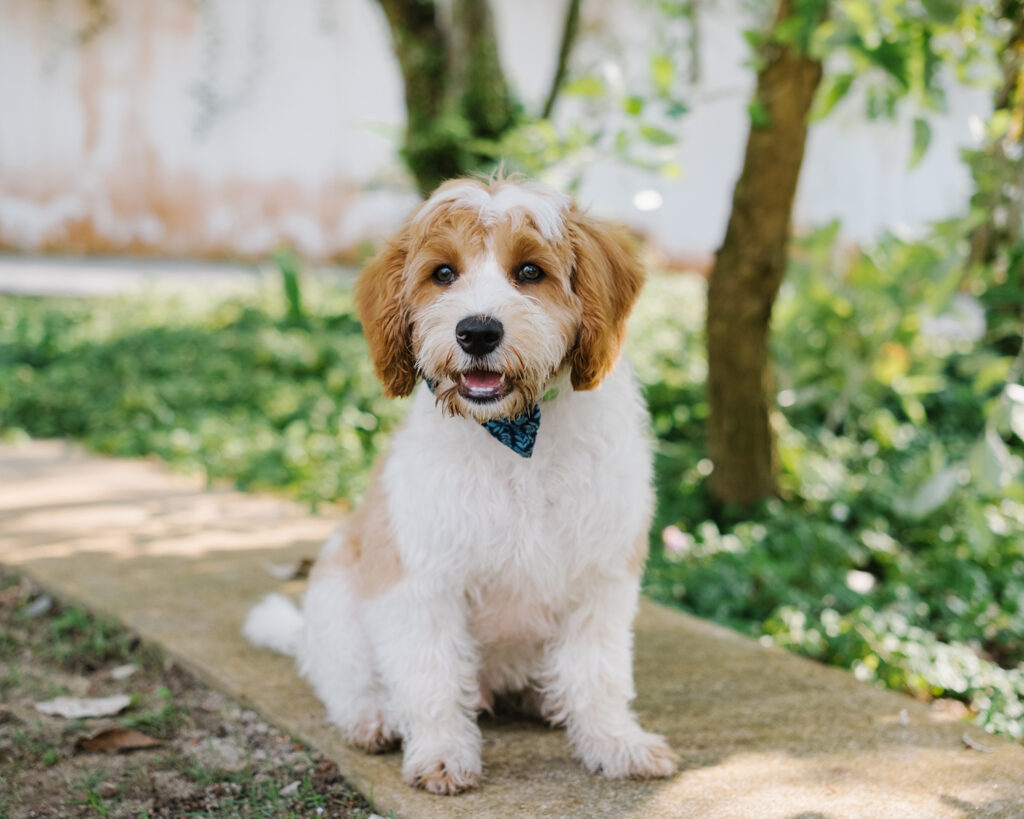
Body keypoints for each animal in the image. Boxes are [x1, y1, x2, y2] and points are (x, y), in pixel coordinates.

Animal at [243, 177, 678, 794]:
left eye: (530, 271)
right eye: (443, 273)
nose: (477, 331)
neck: (514, 438)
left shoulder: (599, 576)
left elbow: (598, 673)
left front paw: (615, 743)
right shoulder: (422, 579)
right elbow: (431, 677)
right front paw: (442, 752)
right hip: (337, 600)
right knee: (344, 679)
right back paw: (374, 717)